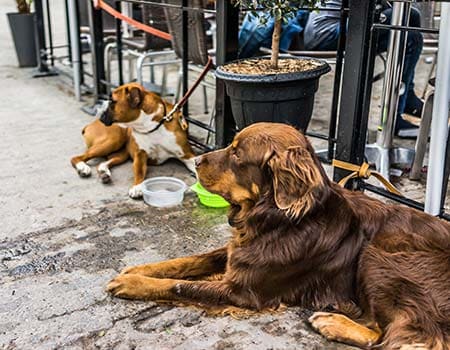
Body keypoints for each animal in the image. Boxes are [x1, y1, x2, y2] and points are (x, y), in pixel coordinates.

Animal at [107, 122, 448, 348]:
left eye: (237, 155)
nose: (195, 160)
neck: (281, 219)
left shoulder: (242, 291)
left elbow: (180, 286)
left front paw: (132, 283)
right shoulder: (237, 253)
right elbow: (188, 261)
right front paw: (138, 270)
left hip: (378, 256)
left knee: (394, 335)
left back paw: (331, 322)